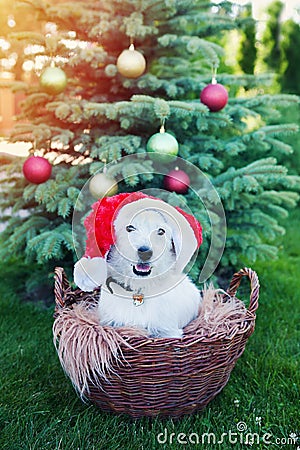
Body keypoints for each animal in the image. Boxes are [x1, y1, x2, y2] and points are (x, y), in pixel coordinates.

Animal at [74, 192, 203, 338]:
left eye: (161, 231)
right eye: (130, 228)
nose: (145, 252)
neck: (139, 289)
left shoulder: (166, 332)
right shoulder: (112, 324)